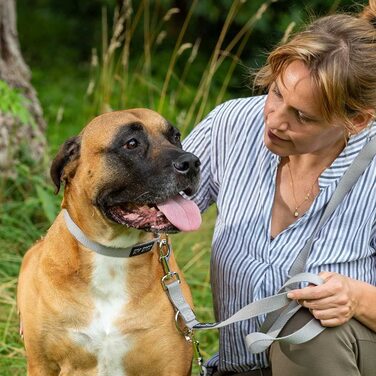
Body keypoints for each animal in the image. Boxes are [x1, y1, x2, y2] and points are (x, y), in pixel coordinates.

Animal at [16, 109, 203, 376]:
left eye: (175, 137)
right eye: (131, 144)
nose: (192, 163)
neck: (114, 253)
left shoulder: (171, 367)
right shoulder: (42, 365)